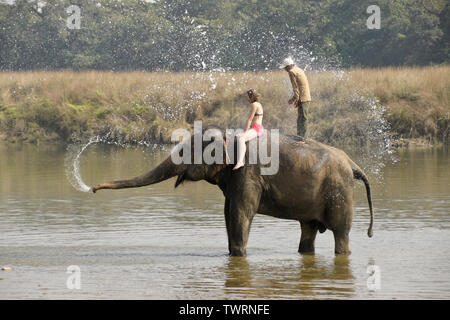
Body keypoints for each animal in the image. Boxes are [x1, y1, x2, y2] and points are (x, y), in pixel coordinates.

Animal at [91, 126, 372, 256]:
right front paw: (230, 254)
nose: (93, 188)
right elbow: (228, 213)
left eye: (186, 152)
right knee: (309, 230)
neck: (231, 135)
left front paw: (238, 256)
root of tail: (354, 164)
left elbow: (241, 213)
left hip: (339, 192)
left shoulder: (248, 173)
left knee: (340, 233)